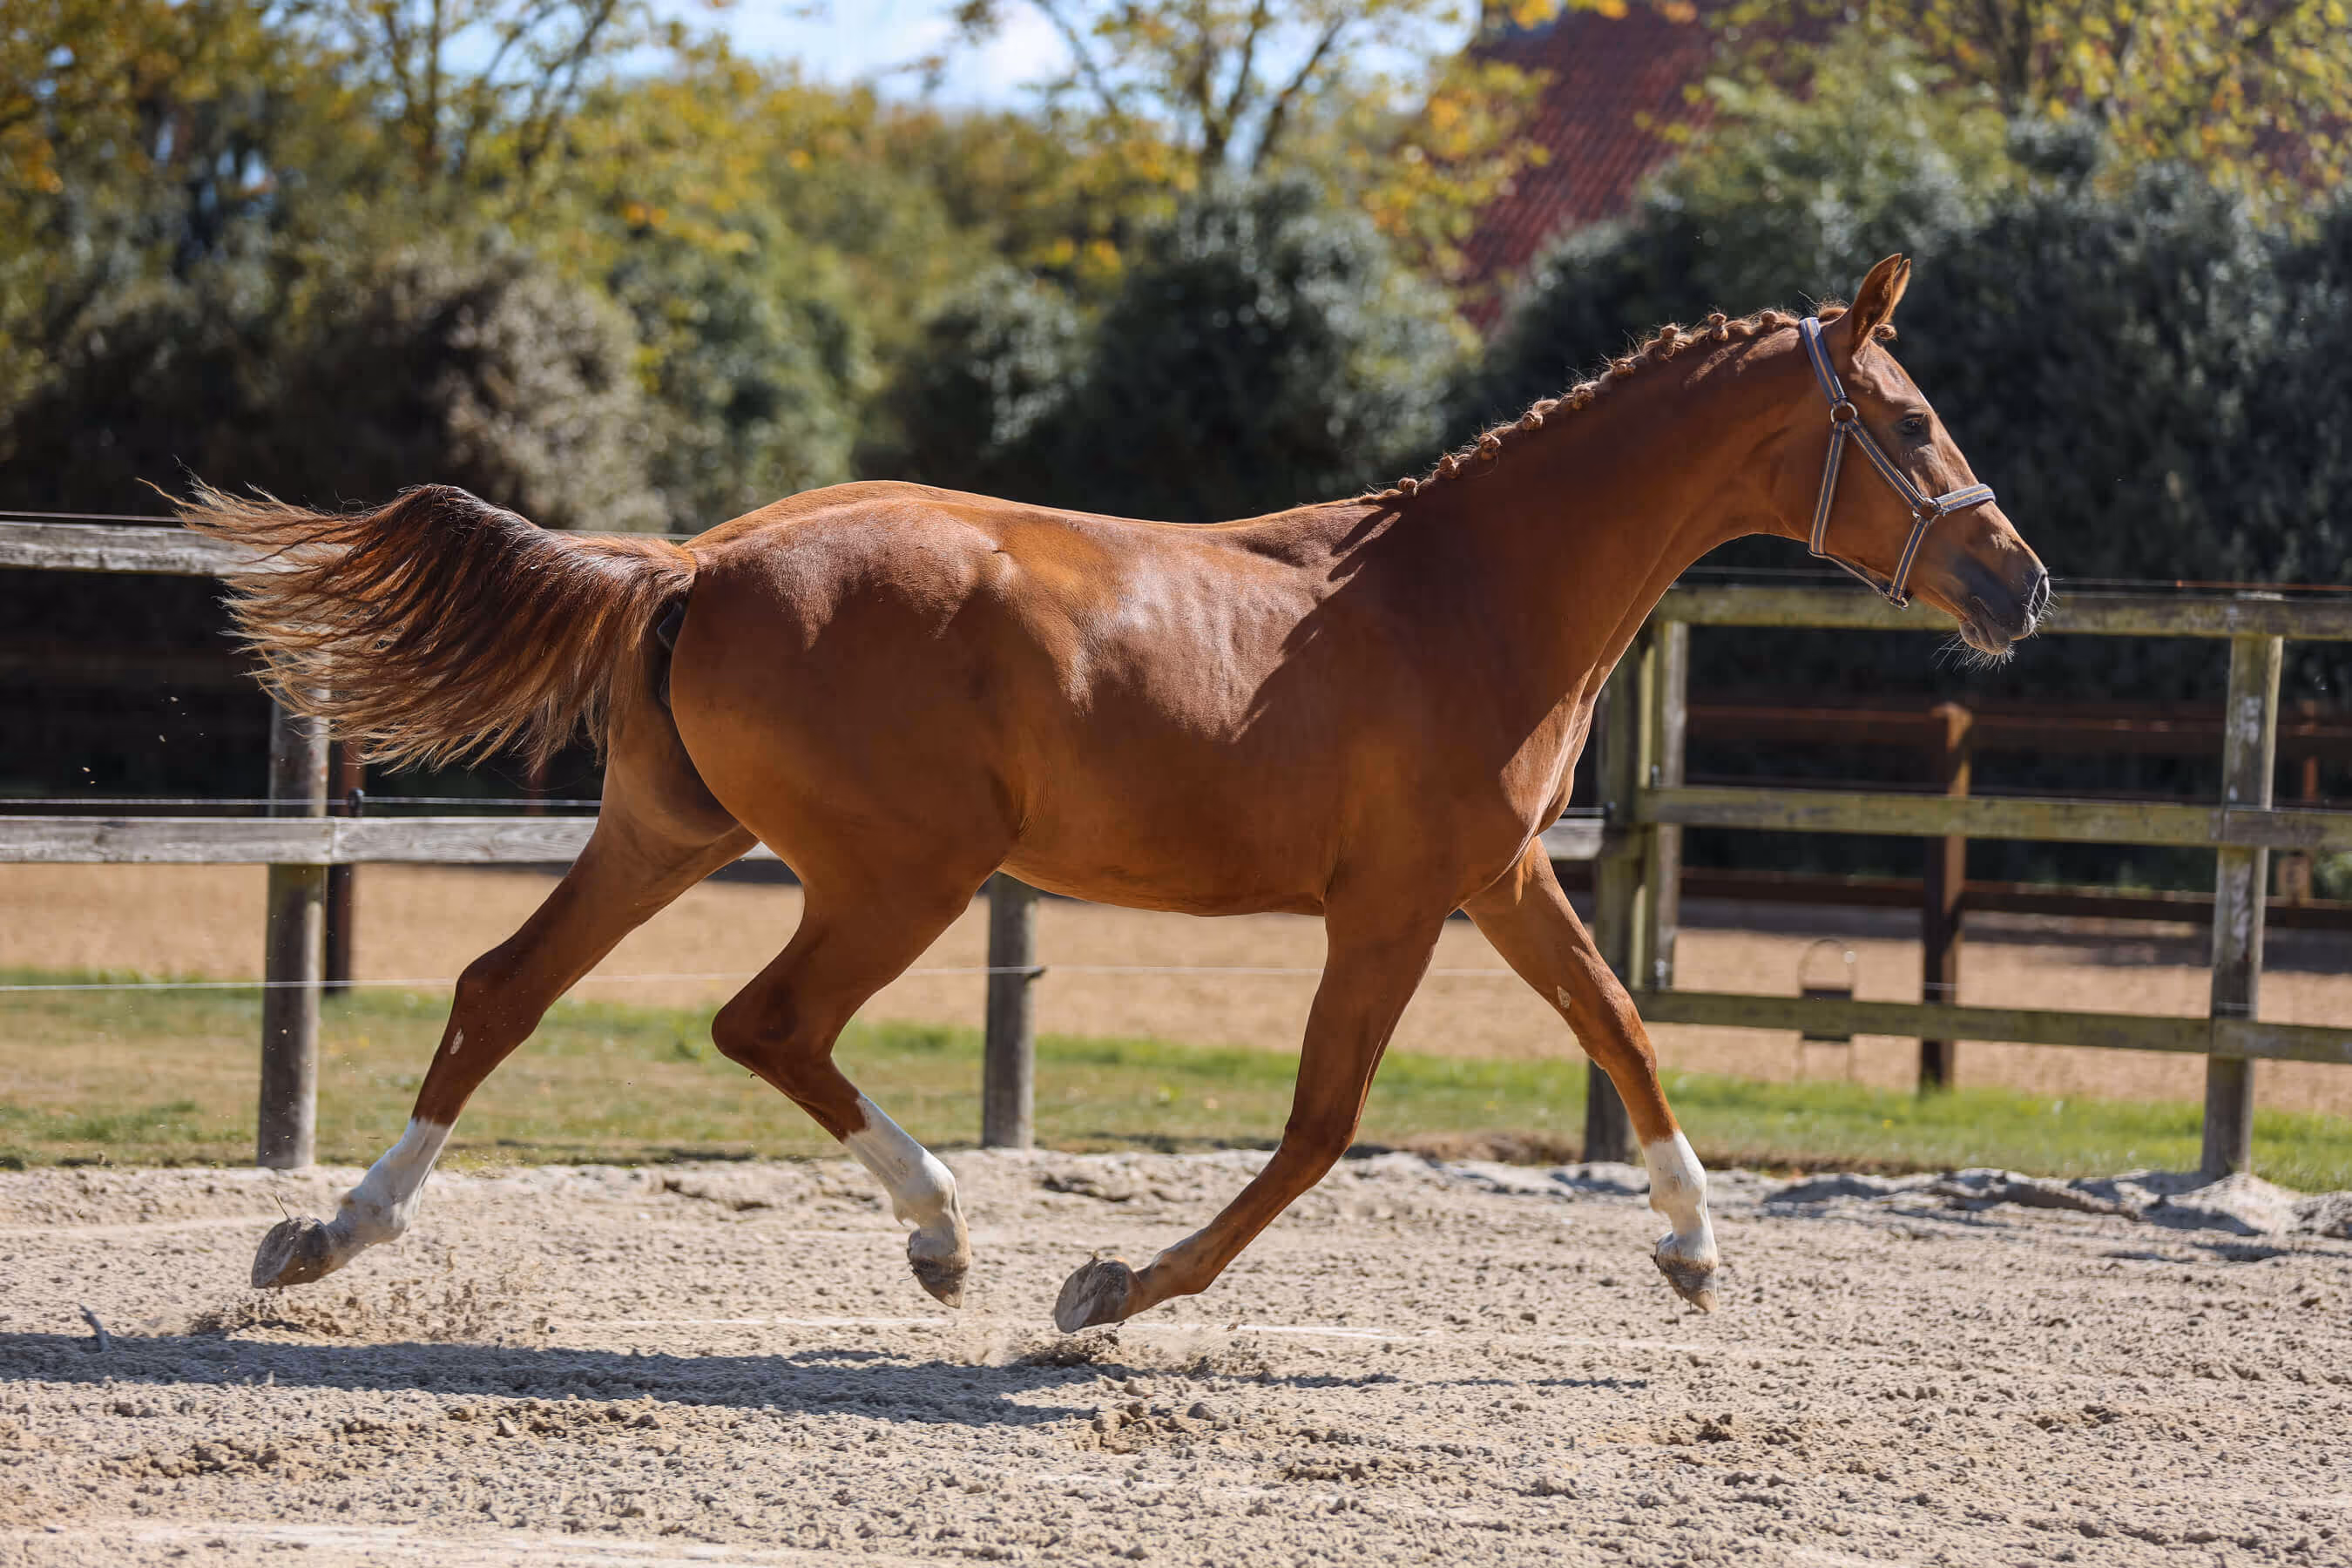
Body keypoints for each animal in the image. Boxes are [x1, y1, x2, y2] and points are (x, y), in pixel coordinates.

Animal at [187, 255, 2046, 1329]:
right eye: (1909, 421)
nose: (2020, 584)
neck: (1471, 593)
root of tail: (705, 562)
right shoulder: (1392, 907)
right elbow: (1320, 1126)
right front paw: (1114, 1287)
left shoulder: (1504, 882)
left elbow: (1628, 1030)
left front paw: (1693, 1250)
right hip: (901, 873)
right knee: (765, 1025)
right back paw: (942, 1235)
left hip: (669, 833)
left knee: (501, 990)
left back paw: (327, 1238)